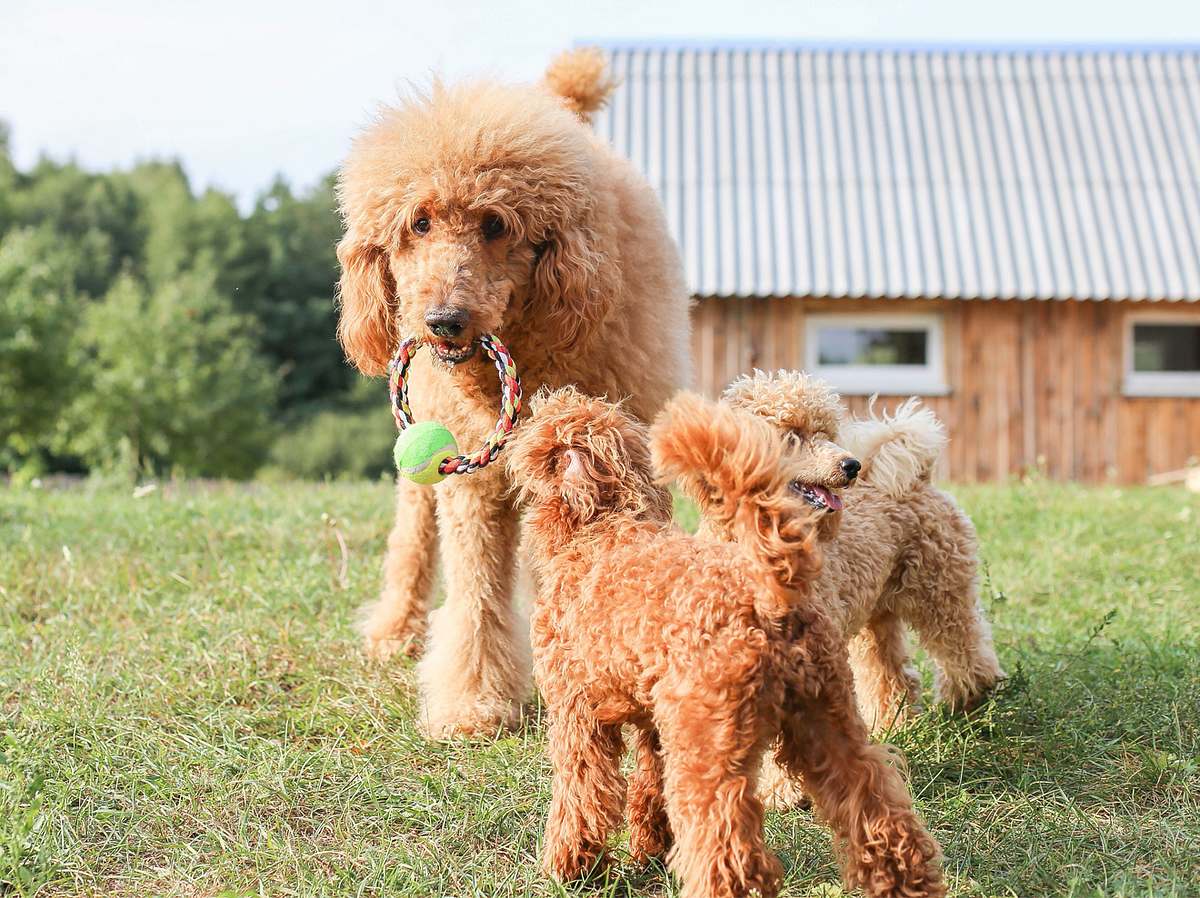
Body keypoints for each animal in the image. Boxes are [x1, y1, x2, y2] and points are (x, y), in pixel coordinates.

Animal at [338, 49, 696, 734]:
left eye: (495, 224)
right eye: (418, 223)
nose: (445, 321)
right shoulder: (472, 484)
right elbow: (476, 594)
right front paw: (473, 704)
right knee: (413, 534)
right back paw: (395, 631)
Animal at [506, 388, 945, 897]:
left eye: (543, 443)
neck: (603, 529)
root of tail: (766, 593)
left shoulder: (578, 714)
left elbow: (581, 794)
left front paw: (572, 867)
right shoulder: (654, 722)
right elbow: (648, 785)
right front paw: (651, 847)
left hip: (709, 748)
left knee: (726, 849)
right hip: (826, 718)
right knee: (878, 809)